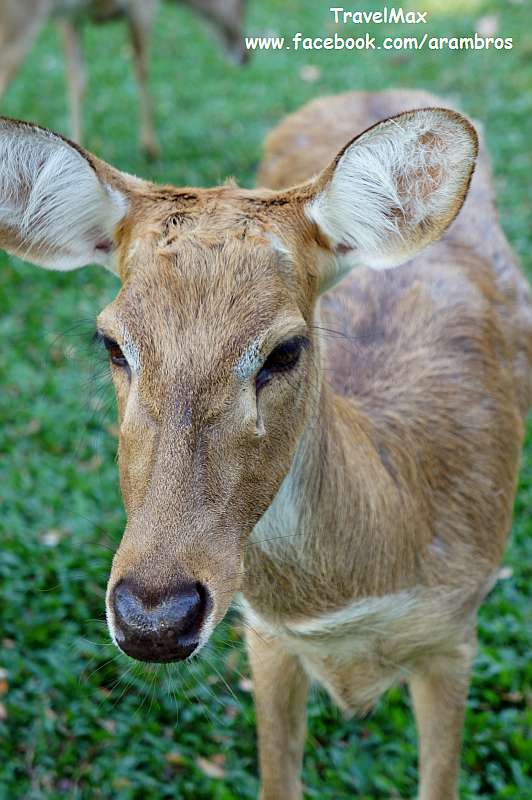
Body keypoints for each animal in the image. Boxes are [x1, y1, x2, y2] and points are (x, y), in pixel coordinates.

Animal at [0, 0, 246, 159]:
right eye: (243, 5)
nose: (245, 56)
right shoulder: (142, 8)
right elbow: (142, 68)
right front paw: (150, 148)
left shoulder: (70, 19)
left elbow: (76, 79)